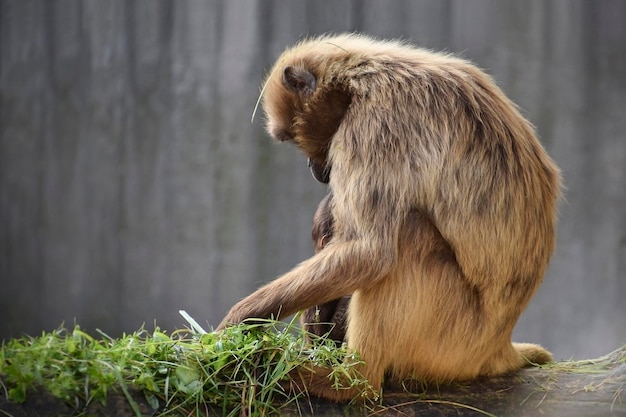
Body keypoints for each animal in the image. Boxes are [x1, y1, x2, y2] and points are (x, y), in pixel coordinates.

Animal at [216, 34, 560, 402]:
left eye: (292, 139)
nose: (311, 167)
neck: (361, 76)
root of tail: (497, 343)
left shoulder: (373, 124)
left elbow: (371, 253)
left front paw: (238, 322)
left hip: (456, 338)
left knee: (408, 234)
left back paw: (352, 381)